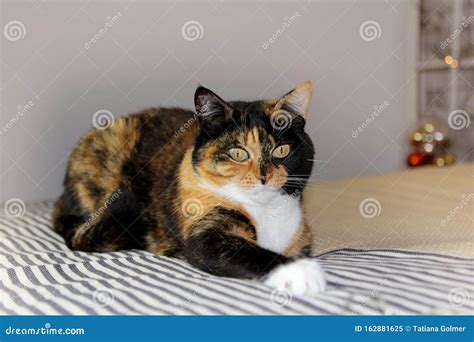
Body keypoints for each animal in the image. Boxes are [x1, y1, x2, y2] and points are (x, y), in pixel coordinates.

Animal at [51, 81, 326, 296]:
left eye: (282, 150)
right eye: (237, 153)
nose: (264, 176)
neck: (266, 212)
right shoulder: (204, 231)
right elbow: (249, 251)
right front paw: (301, 273)